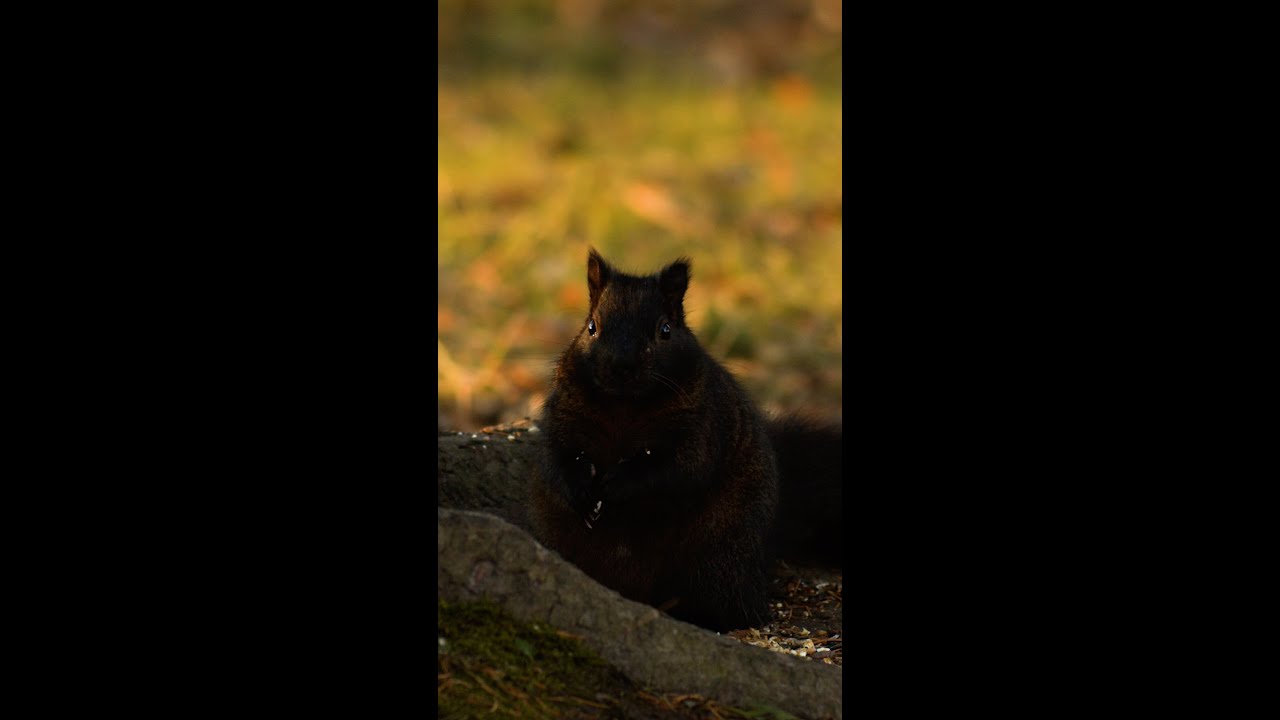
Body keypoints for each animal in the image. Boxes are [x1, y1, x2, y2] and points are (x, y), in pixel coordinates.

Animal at [529, 248, 842, 633]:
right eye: (591, 327)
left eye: (665, 330)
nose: (621, 366)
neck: (624, 405)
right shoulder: (564, 418)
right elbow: (557, 457)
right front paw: (583, 494)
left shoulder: (700, 429)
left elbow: (677, 471)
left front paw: (616, 486)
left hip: (718, 562)